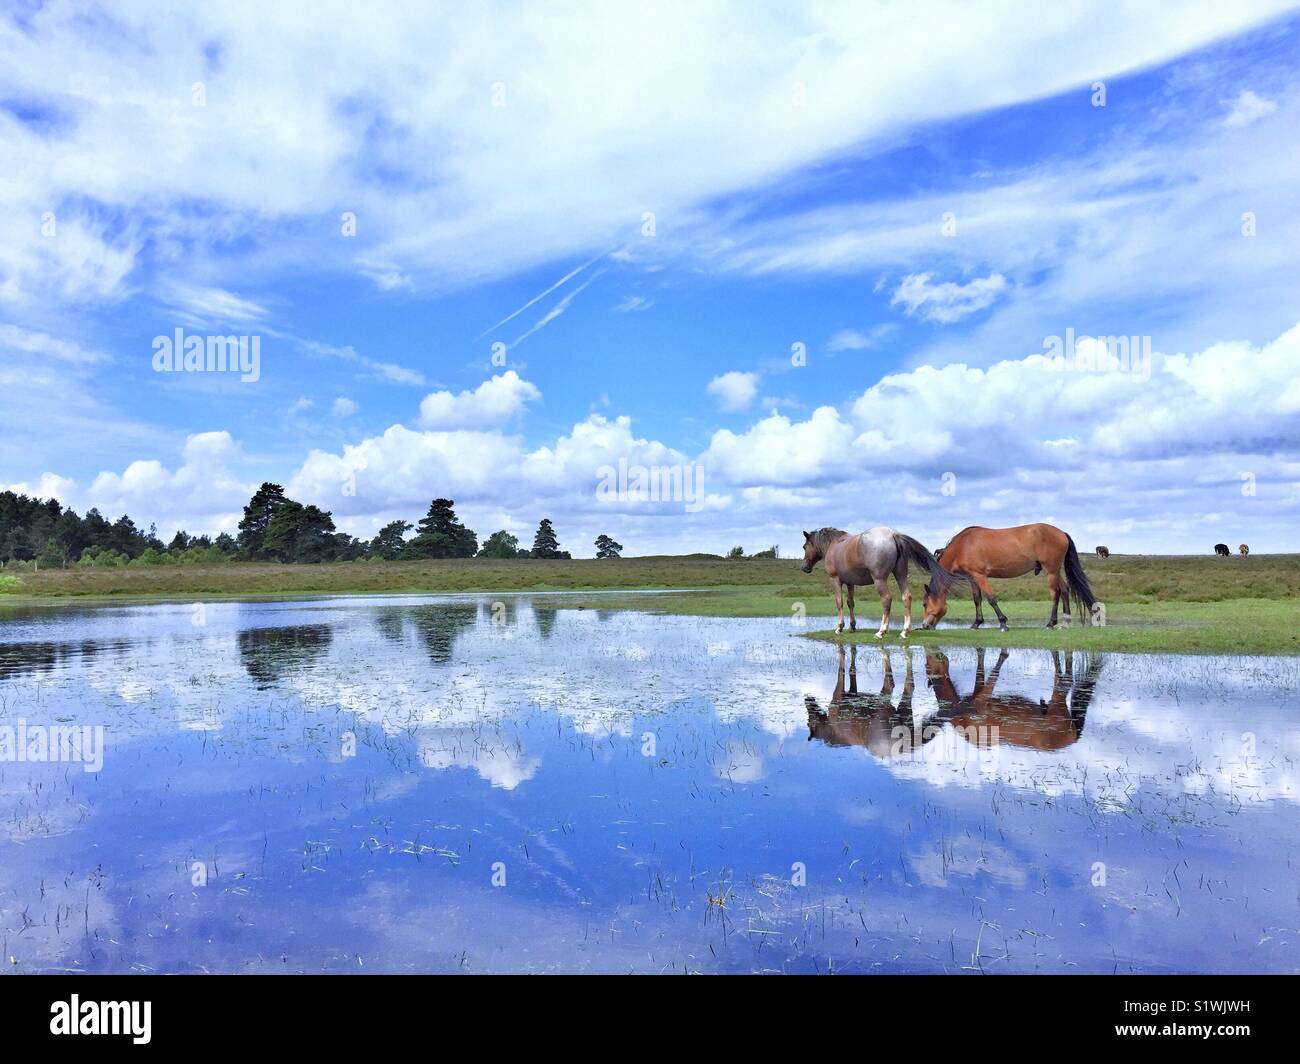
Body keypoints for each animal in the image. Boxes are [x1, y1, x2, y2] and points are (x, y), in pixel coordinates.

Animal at [802, 526, 963, 638]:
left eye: (804, 547)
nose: (804, 567)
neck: (834, 544)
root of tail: (893, 535)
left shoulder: (835, 580)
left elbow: (839, 602)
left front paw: (839, 627)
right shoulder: (850, 583)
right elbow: (850, 603)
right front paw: (852, 626)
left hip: (879, 580)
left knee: (886, 600)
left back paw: (881, 631)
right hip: (900, 575)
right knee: (906, 597)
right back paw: (905, 631)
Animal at [920, 523, 1099, 631]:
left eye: (924, 604)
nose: (925, 626)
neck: (963, 545)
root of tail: (1061, 533)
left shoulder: (980, 576)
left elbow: (991, 599)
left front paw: (1003, 622)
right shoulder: (973, 578)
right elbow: (977, 599)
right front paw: (976, 623)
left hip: (1051, 570)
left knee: (1055, 593)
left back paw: (1050, 623)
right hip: (1054, 570)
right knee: (1065, 589)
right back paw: (1065, 622)